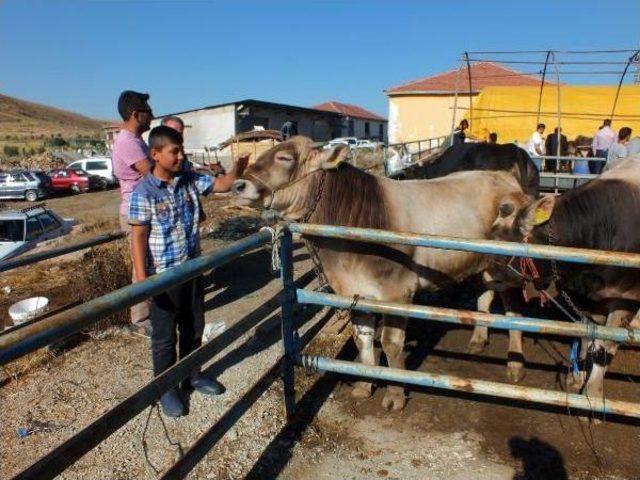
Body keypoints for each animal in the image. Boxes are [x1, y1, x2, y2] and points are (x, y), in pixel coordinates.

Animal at [488, 157, 640, 398]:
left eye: (506, 240)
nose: (486, 275)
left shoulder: (626, 299)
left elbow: (605, 346)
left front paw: (593, 393)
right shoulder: (582, 296)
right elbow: (586, 335)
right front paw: (577, 377)